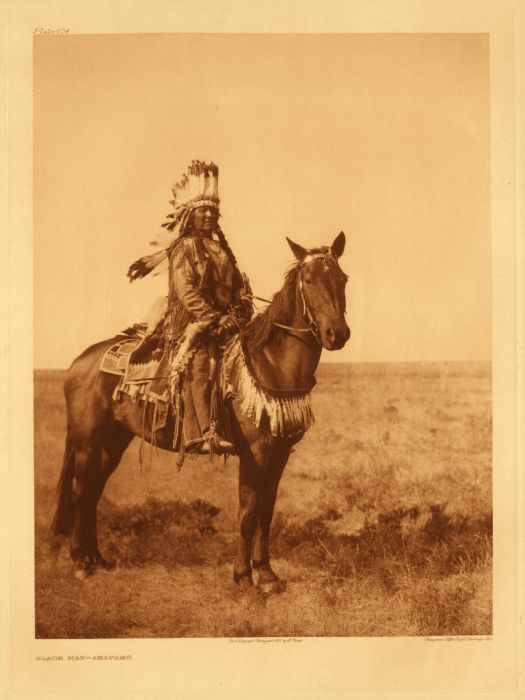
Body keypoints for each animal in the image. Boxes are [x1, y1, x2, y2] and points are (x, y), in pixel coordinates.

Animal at [51, 232, 350, 592]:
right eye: (308, 280)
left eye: (342, 279)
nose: (337, 334)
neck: (270, 363)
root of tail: (78, 362)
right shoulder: (255, 455)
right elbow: (248, 514)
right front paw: (243, 578)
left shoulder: (279, 454)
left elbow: (266, 513)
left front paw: (267, 575)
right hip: (87, 442)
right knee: (81, 492)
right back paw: (80, 563)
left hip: (113, 441)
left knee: (93, 492)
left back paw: (98, 560)